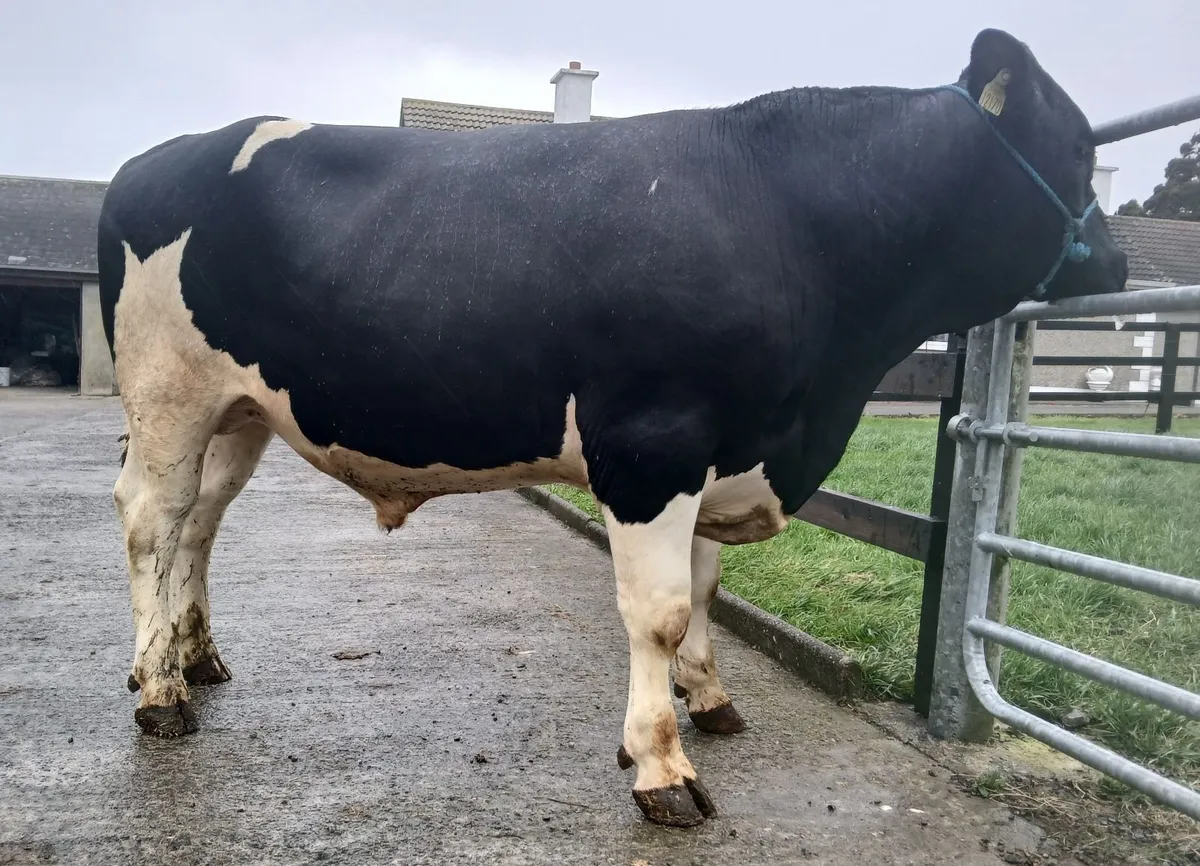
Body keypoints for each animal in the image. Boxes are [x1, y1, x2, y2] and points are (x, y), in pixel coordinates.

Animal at [97, 28, 1127, 827]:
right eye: (1078, 148)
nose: (1116, 265)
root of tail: (157, 156)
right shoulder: (652, 444)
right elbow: (660, 611)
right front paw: (661, 765)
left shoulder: (719, 453)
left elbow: (705, 589)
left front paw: (711, 699)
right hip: (167, 394)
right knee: (152, 521)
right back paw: (159, 691)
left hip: (238, 412)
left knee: (201, 524)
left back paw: (195, 657)